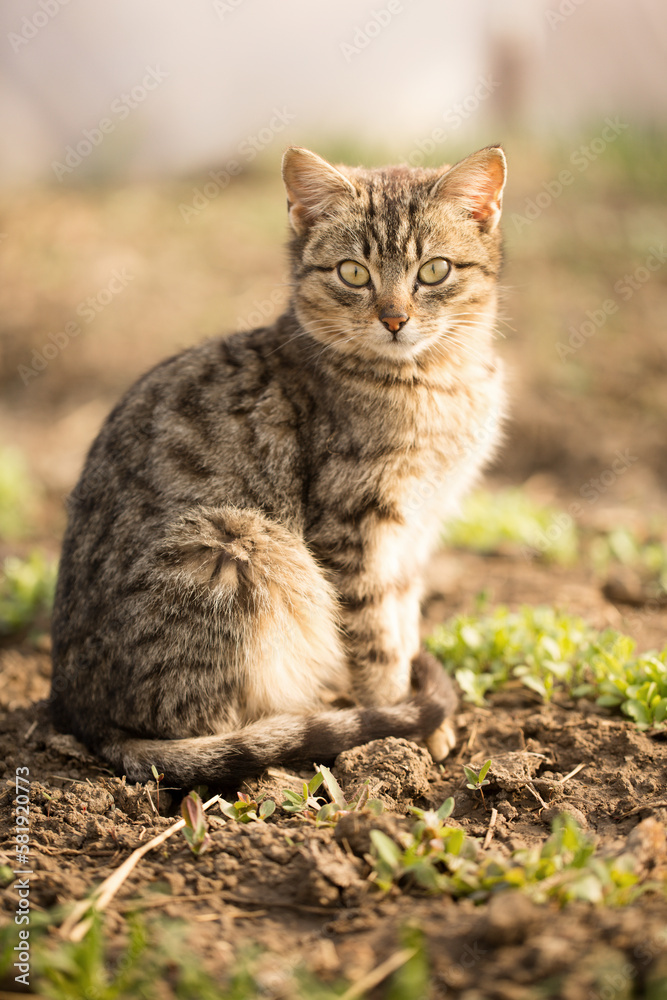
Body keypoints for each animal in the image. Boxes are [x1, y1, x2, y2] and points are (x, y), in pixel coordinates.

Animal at [49, 143, 506, 788]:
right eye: (353, 273)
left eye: (435, 271)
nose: (394, 319)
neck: (438, 378)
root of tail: (87, 718)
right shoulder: (354, 532)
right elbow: (377, 643)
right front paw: (401, 729)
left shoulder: (414, 534)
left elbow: (403, 622)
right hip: (235, 544)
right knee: (213, 728)